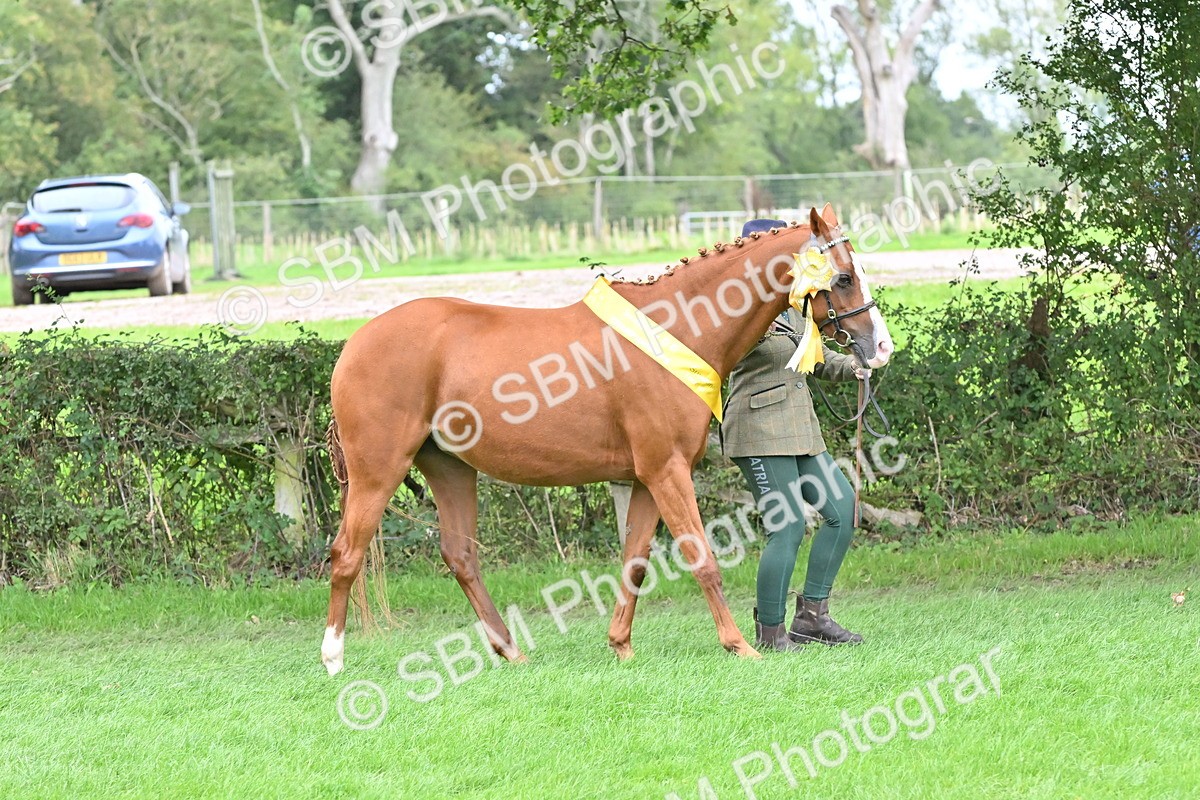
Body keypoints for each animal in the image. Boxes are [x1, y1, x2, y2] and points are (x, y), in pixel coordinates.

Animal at [321, 204, 893, 675]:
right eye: (843, 276)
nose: (880, 347)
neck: (675, 328)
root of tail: (355, 343)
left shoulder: (644, 479)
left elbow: (634, 560)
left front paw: (621, 644)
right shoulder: (667, 470)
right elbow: (701, 557)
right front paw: (739, 646)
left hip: (450, 467)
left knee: (460, 556)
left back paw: (510, 651)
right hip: (379, 469)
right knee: (346, 553)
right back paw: (333, 659)